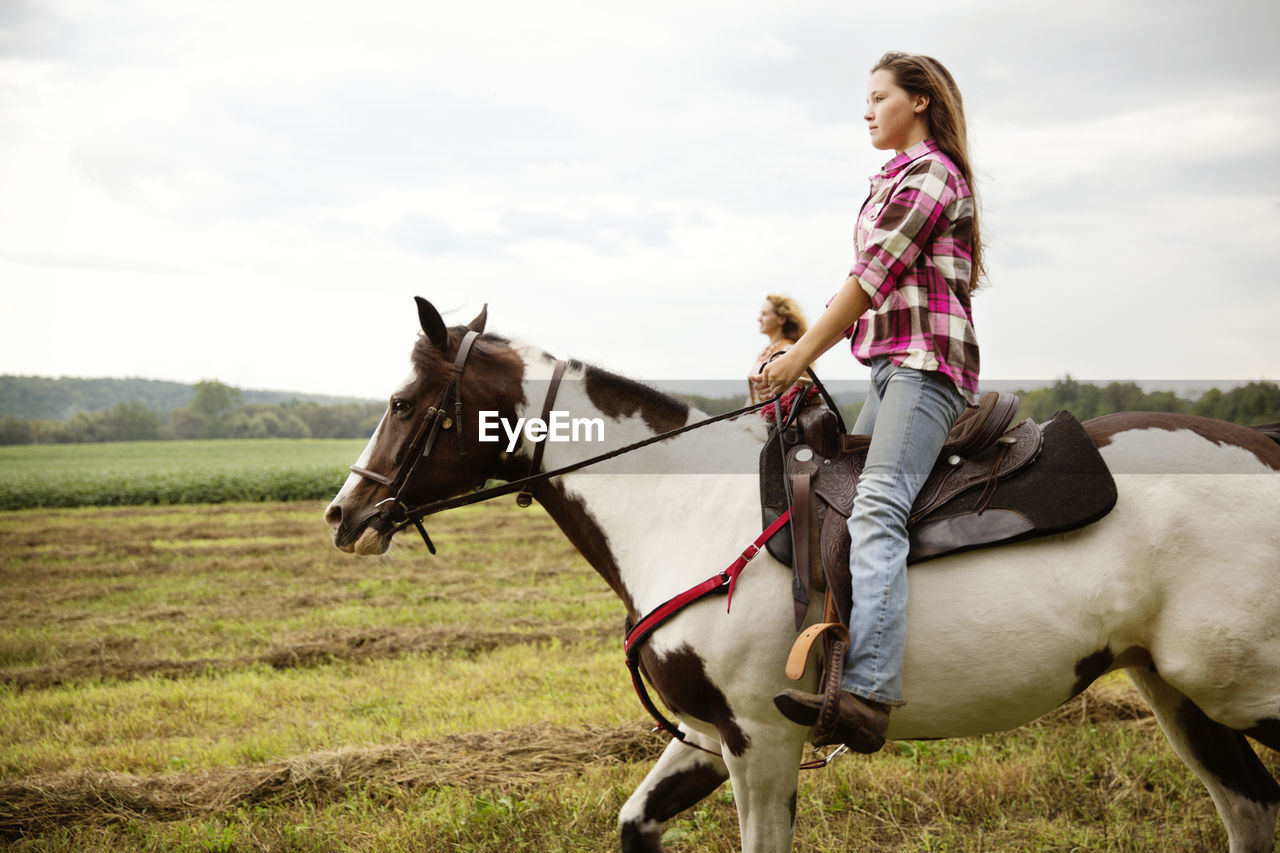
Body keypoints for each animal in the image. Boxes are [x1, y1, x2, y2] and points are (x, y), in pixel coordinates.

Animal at [327, 298, 1280, 850]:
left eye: (404, 403)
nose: (343, 513)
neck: (678, 507)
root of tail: (1263, 448)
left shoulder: (760, 737)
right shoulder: (707, 733)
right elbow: (634, 824)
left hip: (1237, 686)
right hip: (1177, 691)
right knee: (1250, 810)